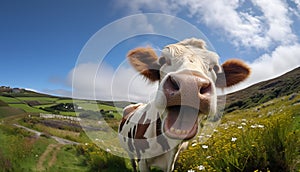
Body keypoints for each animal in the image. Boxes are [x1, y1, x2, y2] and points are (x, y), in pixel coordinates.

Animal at [118, 38, 250, 172]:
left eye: (215, 68)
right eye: (162, 60)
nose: (189, 84)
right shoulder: (143, 161)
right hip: (129, 150)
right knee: (132, 161)